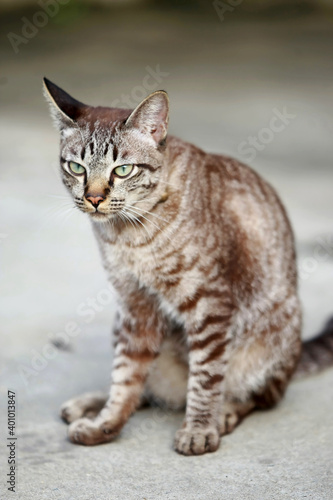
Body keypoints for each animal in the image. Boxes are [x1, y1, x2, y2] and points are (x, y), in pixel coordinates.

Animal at [43, 77, 332, 454]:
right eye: (76, 167)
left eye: (122, 170)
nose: (93, 198)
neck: (128, 234)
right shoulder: (135, 306)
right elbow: (126, 378)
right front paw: (106, 424)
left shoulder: (209, 304)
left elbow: (206, 377)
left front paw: (199, 428)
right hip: (121, 323)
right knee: (149, 389)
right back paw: (89, 404)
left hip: (279, 326)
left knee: (259, 395)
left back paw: (225, 412)